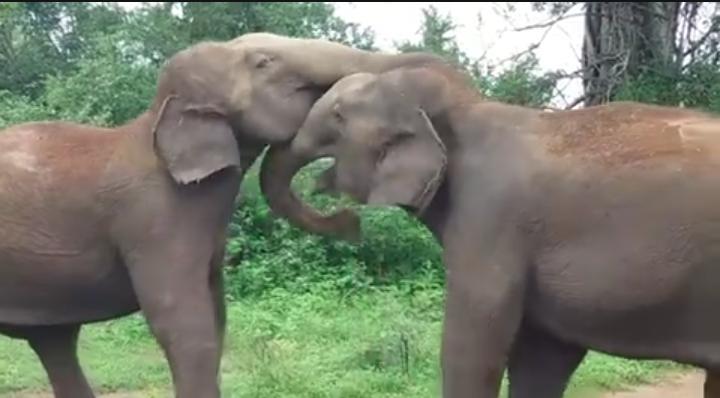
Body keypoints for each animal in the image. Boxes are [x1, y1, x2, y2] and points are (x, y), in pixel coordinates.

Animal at [0, 31, 444, 398]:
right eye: (264, 62)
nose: (352, 221)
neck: (155, 120)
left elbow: (217, 317)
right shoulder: (151, 219)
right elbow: (183, 324)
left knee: (55, 343)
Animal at [258, 62, 720, 398]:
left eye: (337, 116)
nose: (351, 223)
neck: (464, 109)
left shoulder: (492, 216)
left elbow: (473, 345)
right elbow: (541, 359)